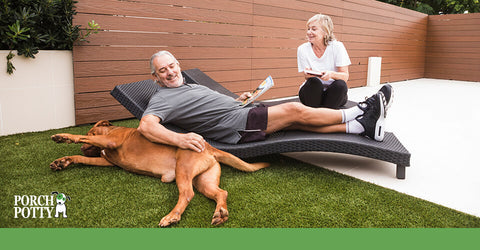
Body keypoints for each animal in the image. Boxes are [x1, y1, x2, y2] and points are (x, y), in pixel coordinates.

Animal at [52, 120, 272, 228]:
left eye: (90, 132)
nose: (83, 148)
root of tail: (209, 147)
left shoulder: (110, 142)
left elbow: (78, 137)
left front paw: (64, 136)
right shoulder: (106, 160)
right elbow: (82, 158)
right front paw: (64, 161)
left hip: (183, 169)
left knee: (187, 194)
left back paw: (172, 216)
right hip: (204, 180)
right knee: (221, 192)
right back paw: (220, 213)